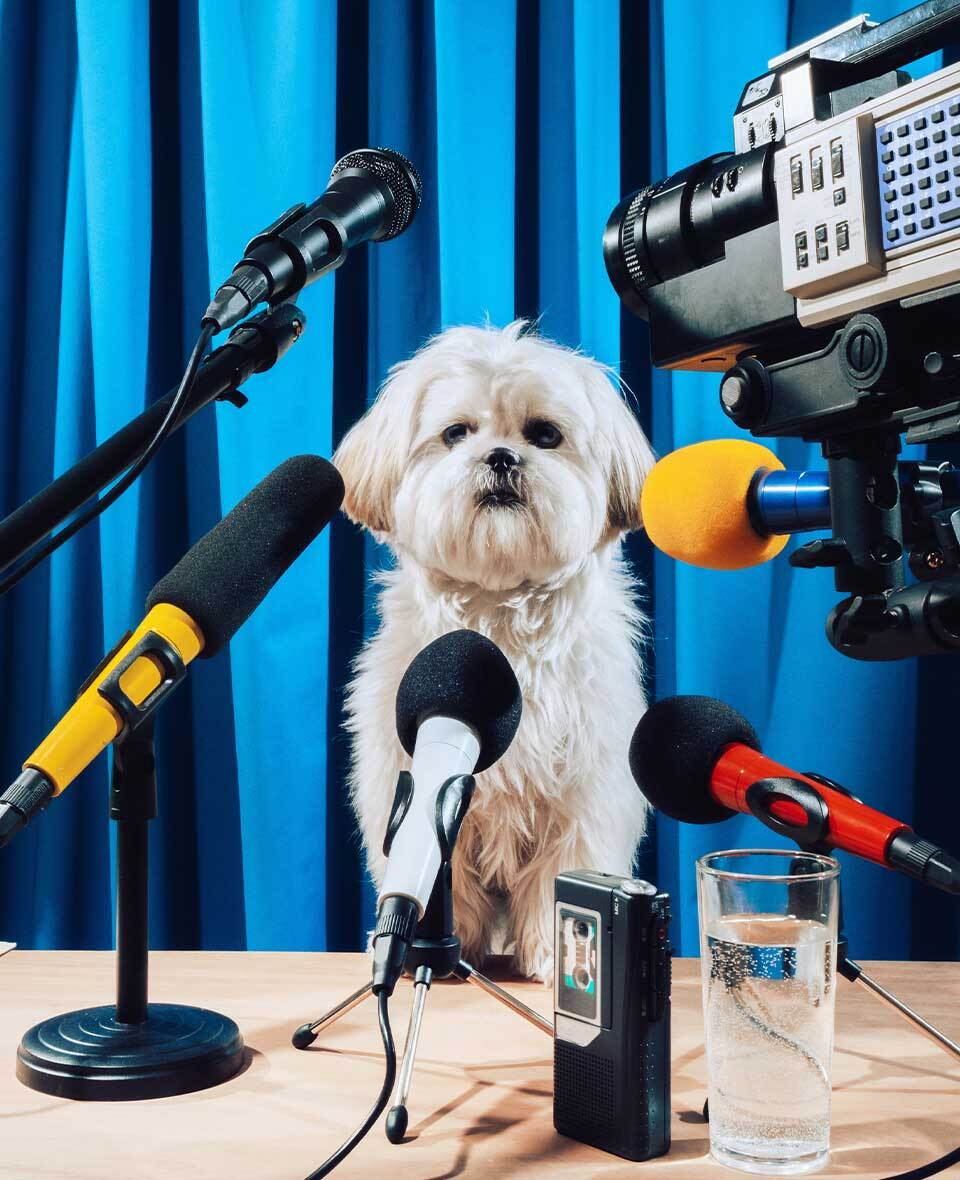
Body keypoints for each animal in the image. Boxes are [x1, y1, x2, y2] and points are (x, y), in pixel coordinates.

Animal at [334, 318, 655, 981]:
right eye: (457, 432)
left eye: (545, 434)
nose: (502, 456)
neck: (498, 616)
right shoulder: (410, 786)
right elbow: (444, 878)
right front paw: (430, 951)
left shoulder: (582, 794)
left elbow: (560, 870)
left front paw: (557, 953)